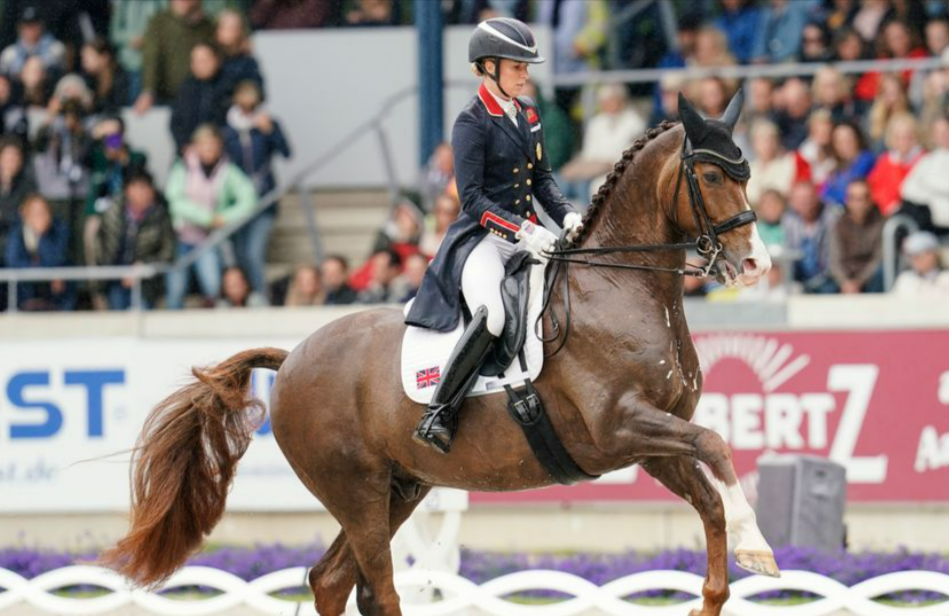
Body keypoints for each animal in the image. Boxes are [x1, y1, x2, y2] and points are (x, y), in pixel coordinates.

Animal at [107, 102, 780, 616]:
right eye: (711, 176)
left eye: (745, 173)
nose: (756, 265)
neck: (618, 284)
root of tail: (294, 355)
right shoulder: (621, 426)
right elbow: (717, 445)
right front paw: (760, 546)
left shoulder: (651, 442)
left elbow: (710, 498)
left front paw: (730, 570)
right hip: (356, 490)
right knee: (375, 587)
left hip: (400, 487)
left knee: (333, 580)